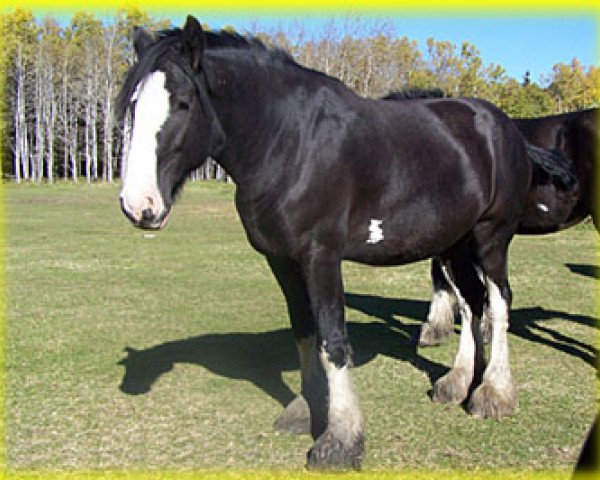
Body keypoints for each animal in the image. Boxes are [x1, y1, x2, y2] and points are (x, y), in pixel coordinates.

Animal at [118, 17, 564, 468]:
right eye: (133, 105)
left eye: (183, 103)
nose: (139, 206)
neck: (290, 142)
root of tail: (505, 128)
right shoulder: (281, 260)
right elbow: (305, 332)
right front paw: (307, 408)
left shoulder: (321, 257)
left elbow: (332, 339)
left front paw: (341, 439)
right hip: (454, 243)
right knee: (472, 301)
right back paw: (457, 384)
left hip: (491, 238)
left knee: (499, 301)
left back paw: (493, 394)